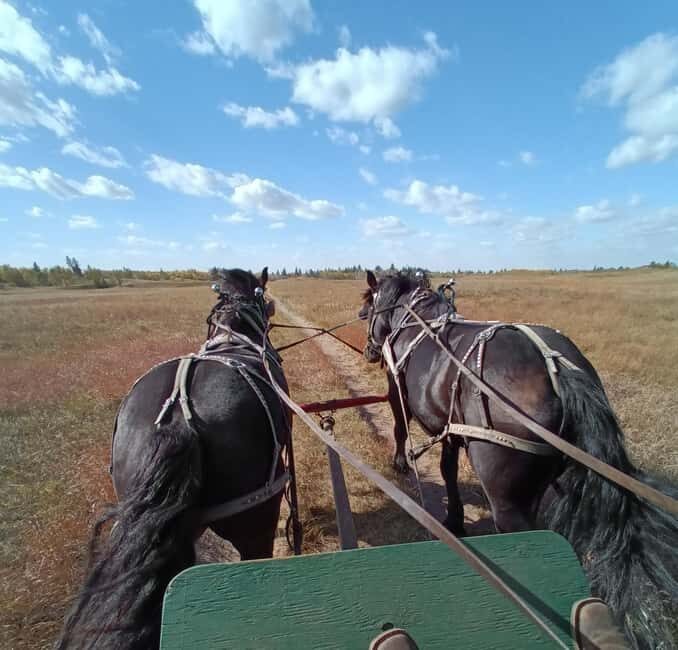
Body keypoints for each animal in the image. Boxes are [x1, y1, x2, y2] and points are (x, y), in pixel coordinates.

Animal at [359, 270, 677, 649]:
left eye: (368, 302)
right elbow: (448, 470)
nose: (369, 349)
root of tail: (561, 372)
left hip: (506, 496)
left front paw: (401, 464)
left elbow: (400, 429)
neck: (414, 319)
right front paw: (455, 519)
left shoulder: (398, 392)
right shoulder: (452, 426)